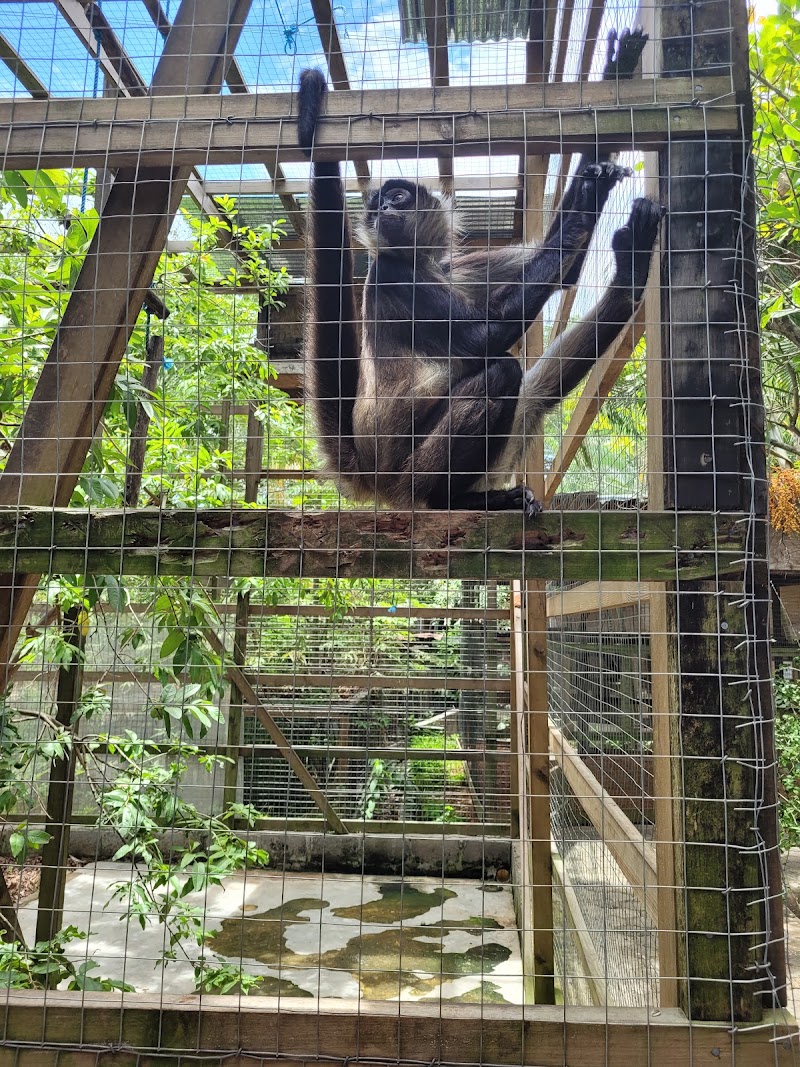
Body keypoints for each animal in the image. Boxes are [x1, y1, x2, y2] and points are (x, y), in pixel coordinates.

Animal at [297, 28, 662, 516]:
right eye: (375, 209)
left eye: (396, 197)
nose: (383, 211)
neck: (424, 263)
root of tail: (374, 474)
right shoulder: (391, 273)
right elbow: (479, 339)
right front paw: (580, 212)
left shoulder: (457, 265)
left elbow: (562, 276)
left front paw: (614, 76)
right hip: (411, 474)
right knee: (502, 372)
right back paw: (447, 500)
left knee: (534, 391)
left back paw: (631, 272)